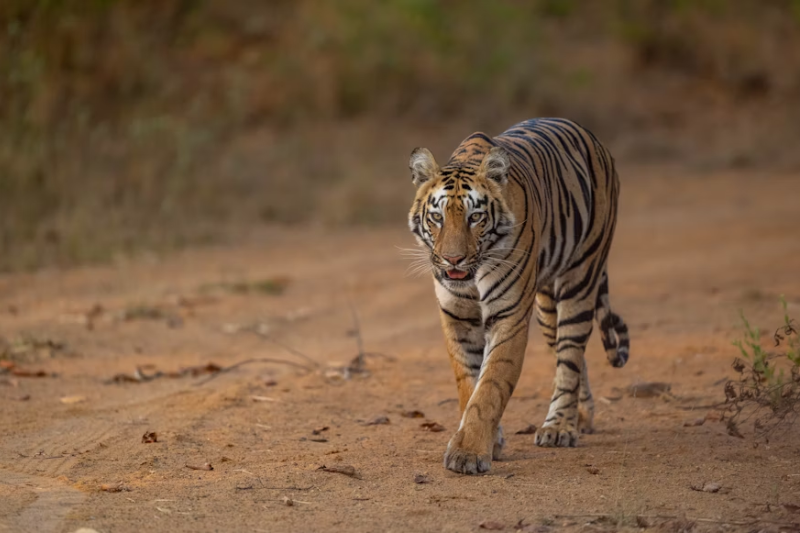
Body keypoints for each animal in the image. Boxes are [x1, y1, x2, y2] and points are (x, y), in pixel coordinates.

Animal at [406, 118, 629, 475]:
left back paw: (560, 427)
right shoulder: (457, 318)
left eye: (475, 217)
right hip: (546, 307)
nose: (453, 260)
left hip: (581, 277)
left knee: (570, 354)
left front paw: (468, 453)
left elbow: (490, 386)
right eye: (437, 217)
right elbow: (468, 383)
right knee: (570, 356)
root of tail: (593, 139)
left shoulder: (508, 317)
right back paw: (580, 417)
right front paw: (489, 442)